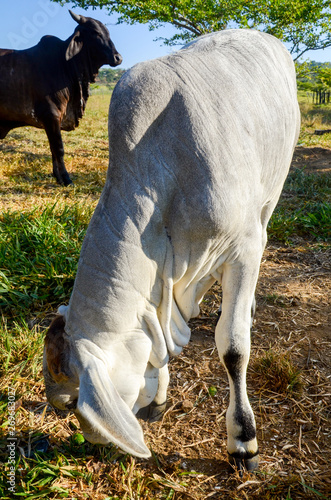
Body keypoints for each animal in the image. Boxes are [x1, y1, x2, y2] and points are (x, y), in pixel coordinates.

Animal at [0, 10, 122, 186]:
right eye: (96, 32)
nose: (118, 58)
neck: (65, 66)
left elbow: (53, 149)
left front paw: (57, 176)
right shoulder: (51, 115)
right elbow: (59, 148)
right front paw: (65, 178)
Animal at [43, 29, 300, 474]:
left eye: (73, 400)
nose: (96, 444)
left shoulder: (244, 247)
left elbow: (233, 347)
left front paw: (243, 440)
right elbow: (157, 340)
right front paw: (159, 397)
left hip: (273, 191)